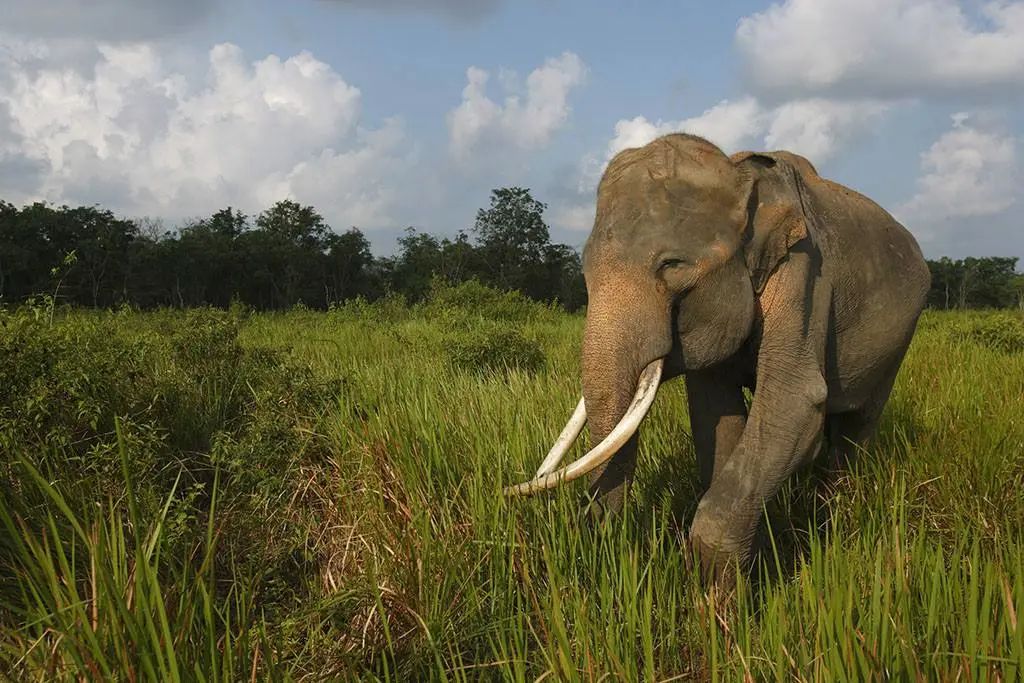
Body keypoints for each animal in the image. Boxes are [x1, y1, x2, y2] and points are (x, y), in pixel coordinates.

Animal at [507, 132, 933, 577]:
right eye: (585, 272)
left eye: (671, 265)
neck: (739, 178)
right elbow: (716, 413)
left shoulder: (804, 269)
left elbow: (795, 402)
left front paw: (720, 587)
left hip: (898, 341)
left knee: (857, 428)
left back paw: (838, 514)